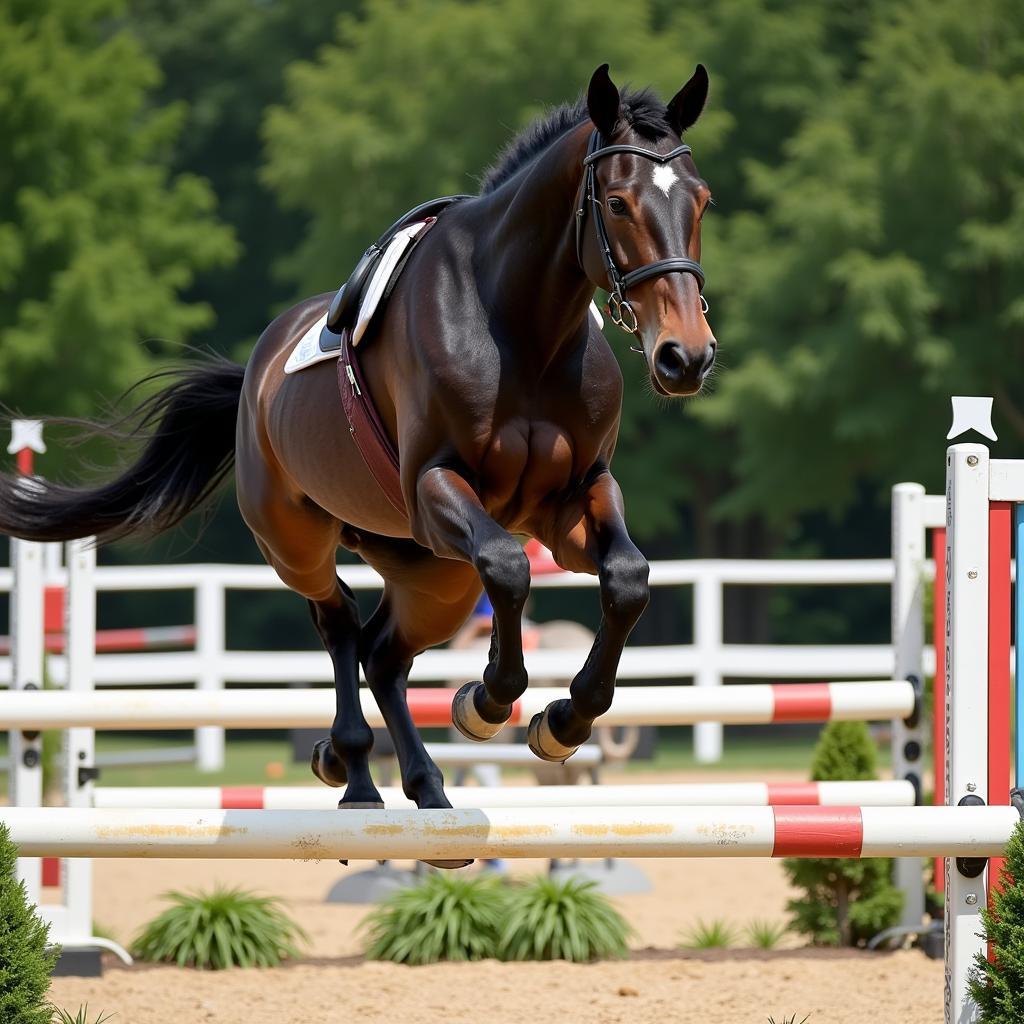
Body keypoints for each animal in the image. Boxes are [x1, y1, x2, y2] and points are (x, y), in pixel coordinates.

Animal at [0, 58, 716, 856]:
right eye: (617, 203)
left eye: (701, 202)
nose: (685, 358)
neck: (523, 326)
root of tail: (254, 371)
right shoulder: (437, 492)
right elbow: (507, 565)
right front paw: (487, 701)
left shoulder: (572, 502)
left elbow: (627, 579)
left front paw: (563, 722)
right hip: (300, 540)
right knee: (341, 624)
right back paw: (355, 774)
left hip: (434, 577)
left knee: (385, 653)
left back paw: (424, 790)